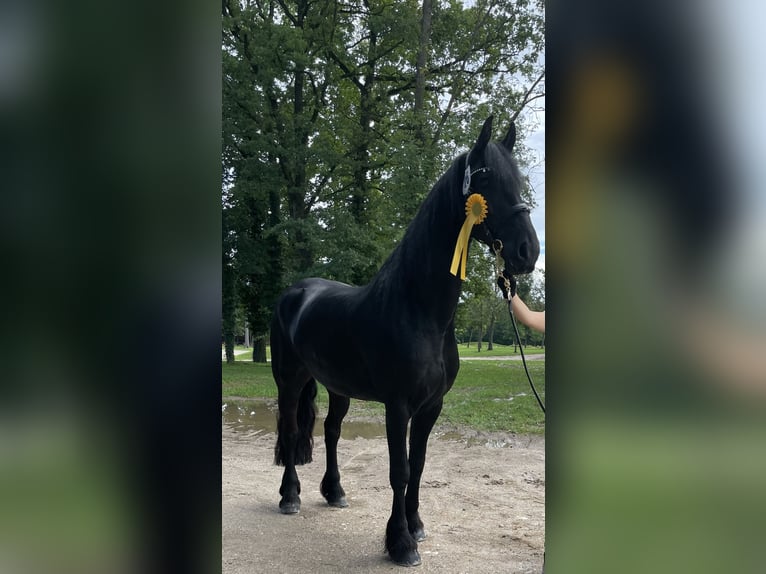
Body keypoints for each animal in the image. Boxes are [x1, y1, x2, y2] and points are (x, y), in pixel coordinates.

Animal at [270, 115, 540, 567]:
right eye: (486, 177)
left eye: (519, 182)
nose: (528, 252)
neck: (418, 309)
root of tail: (295, 292)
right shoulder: (398, 406)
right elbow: (400, 471)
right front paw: (401, 543)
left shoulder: (431, 406)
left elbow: (420, 464)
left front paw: (415, 526)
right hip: (289, 380)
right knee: (291, 432)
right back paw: (290, 497)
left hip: (336, 387)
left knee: (330, 431)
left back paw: (335, 492)